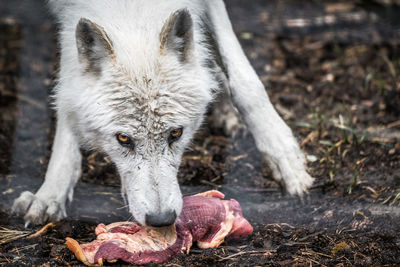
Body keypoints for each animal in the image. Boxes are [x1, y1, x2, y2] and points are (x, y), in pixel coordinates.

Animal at [12, 0, 314, 228]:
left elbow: (244, 79)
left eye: (176, 133)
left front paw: (285, 158)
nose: (161, 219)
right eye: (123, 139)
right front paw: (51, 190)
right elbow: (65, 97)